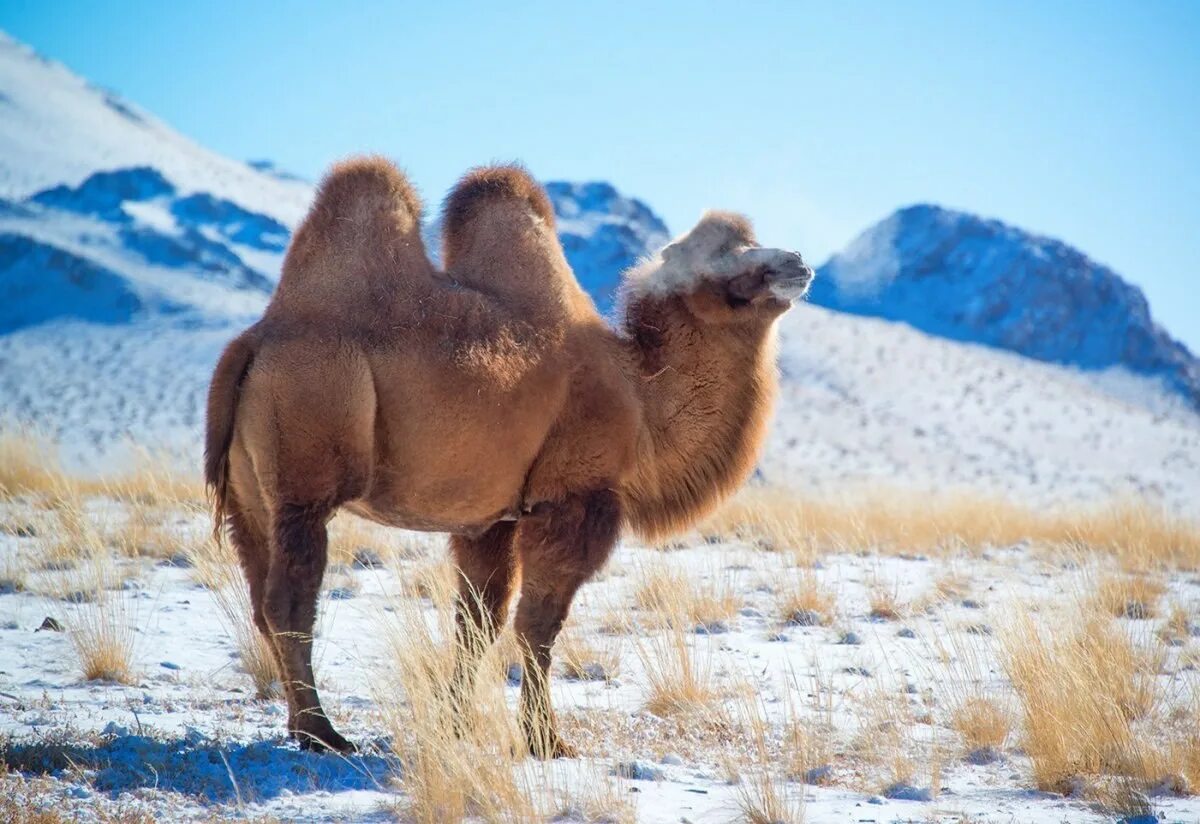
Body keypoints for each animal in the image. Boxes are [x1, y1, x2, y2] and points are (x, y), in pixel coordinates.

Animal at [204, 154, 816, 753]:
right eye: (723, 253)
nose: (798, 261)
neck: (642, 396)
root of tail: (253, 342)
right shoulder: (572, 496)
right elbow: (537, 625)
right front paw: (546, 740)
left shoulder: (491, 517)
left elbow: (477, 624)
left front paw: (455, 725)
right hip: (309, 460)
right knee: (289, 599)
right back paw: (321, 733)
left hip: (249, 496)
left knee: (260, 596)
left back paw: (300, 724)